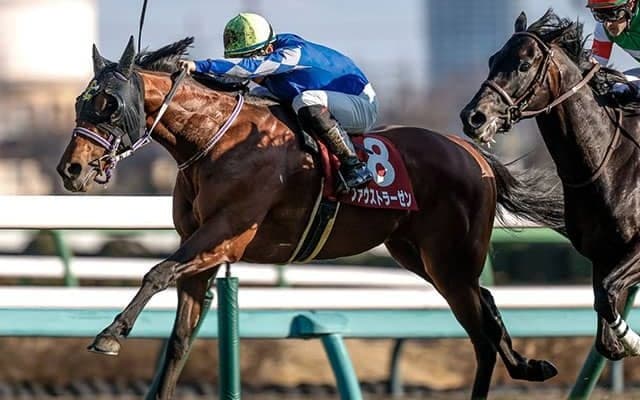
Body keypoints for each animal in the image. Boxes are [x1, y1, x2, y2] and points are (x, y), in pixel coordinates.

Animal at [57, 36, 564, 399]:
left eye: (108, 105)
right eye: (81, 102)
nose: (71, 169)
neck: (214, 139)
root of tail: (472, 153)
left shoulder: (225, 237)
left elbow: (156, 272)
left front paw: (110, 334)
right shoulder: (200, 253)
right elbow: (179, 340)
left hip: (449, 259)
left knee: (481, 333)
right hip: (420, 255)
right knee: (489, 306)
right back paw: (529, 364)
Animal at [461, 9, 640, 362]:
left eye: (523, 65)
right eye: (492, 60)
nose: (473, 117)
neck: (612, 163)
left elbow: (608, 292)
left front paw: (633, 340)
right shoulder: (601, 256)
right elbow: (603, 309)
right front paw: (620, 343)